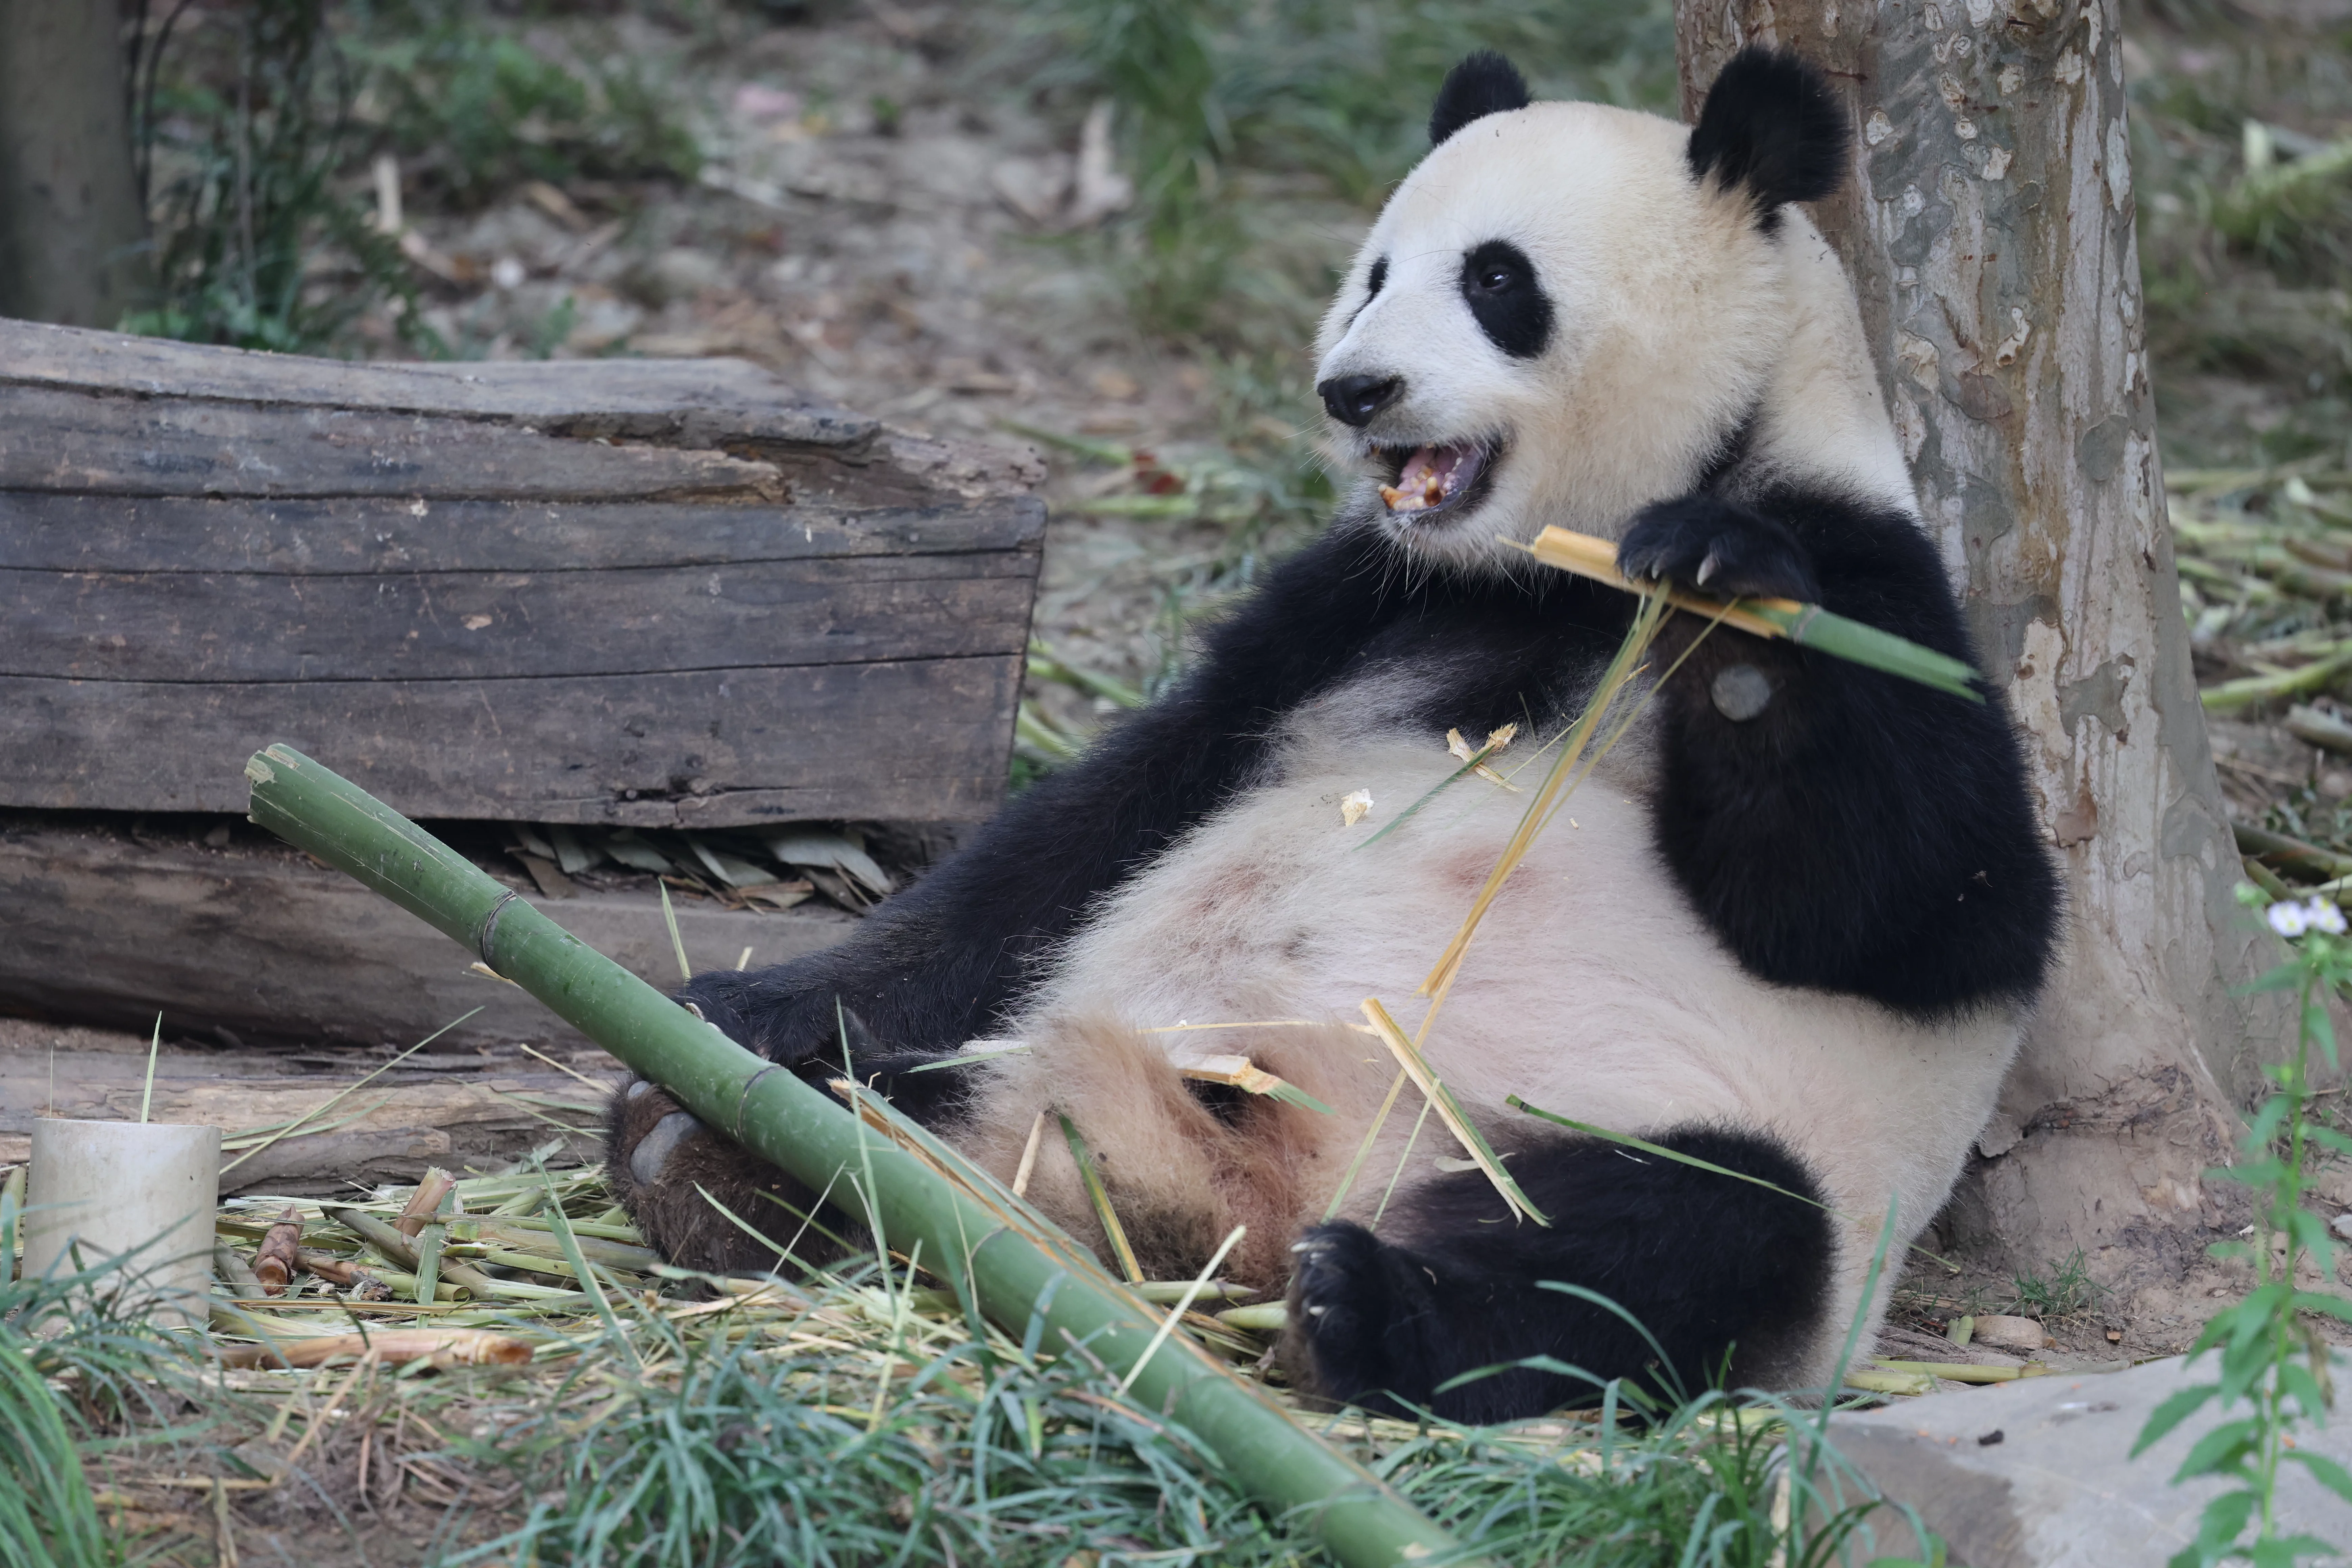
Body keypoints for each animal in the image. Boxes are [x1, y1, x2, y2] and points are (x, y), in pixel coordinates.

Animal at [608, 46, 2059, 1425]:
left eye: (1496, 279)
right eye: (1374, 273)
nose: (1356, 389)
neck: (1557, 565)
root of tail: (1253, 1200)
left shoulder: (1872, 570)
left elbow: (1926, 908)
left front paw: (1721, 588)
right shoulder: (1368, 604)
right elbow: (1106, 816)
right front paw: (741, 1004)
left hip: (1624, 1137)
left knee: (1687, 1231)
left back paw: (1370, 1308)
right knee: (951, 1091)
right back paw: (728, 1141)